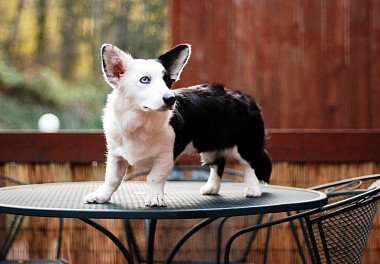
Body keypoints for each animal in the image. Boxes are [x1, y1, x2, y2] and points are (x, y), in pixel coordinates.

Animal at [84, 43, 272, 207]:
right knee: (218, 164)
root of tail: (246, 98)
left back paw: (253, 189)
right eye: (145, 80)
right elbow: (112, 179)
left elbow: (154, 178)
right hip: (209, 147)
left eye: (167, 81)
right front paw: (100, 197)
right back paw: (211, 188)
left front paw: (155, 198)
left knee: (249, 165)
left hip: (246, 145)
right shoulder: (116, 155)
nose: (171, 99)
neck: (141, 121)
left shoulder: (165, 157)